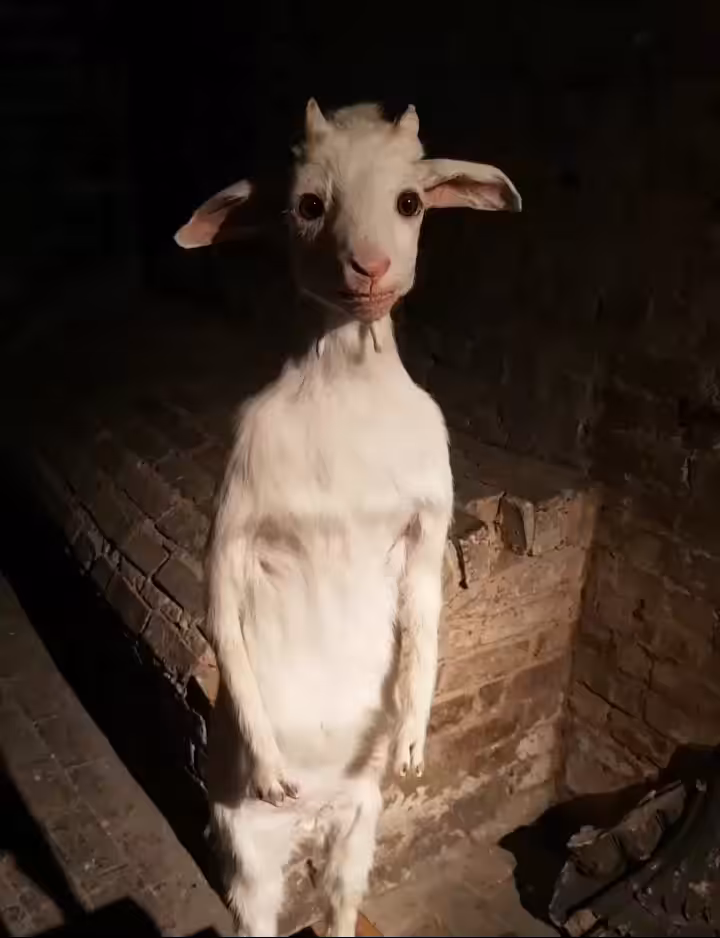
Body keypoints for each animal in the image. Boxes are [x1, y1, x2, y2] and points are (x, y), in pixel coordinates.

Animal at [174, 100, 520, 937]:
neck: (348, 389)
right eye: (307, 206)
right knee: (260, 906)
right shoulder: (239, 490)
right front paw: (270, 767)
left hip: (359, 827)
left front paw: (412, 747)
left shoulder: (431, 502)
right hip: (247, 852)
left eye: (412, 201)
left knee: (340, 898)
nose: (369, 267)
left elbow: (426, 609)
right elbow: (219, 607)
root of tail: (313, 822)